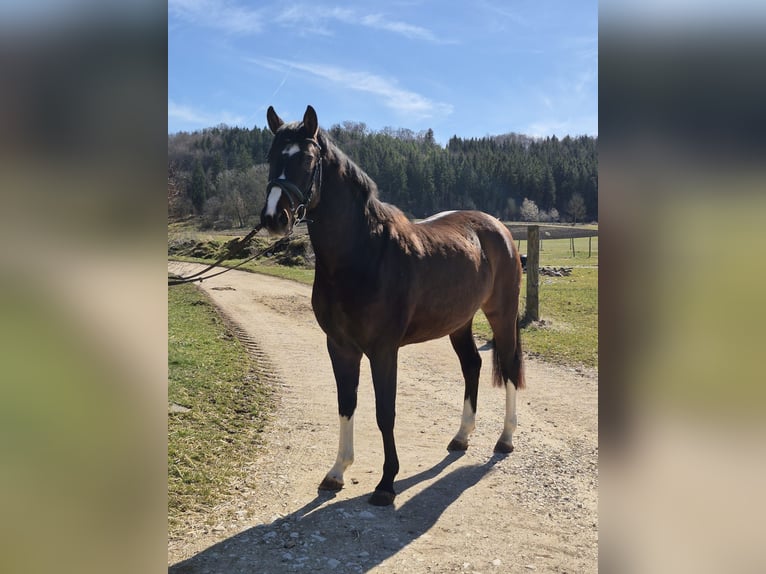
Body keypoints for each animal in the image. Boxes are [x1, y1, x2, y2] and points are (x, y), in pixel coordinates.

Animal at [260, 105, 525, 506]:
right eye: (271, 156)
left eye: (306, 159)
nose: (274, 218)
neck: (364, 253)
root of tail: (500, 229)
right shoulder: (340, 347)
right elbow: (346, 403)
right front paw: (337, 472)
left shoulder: (383, 350)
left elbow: (386, 412)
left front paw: (386, 484)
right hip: (459, 322)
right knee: (472, 366)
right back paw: (461, 436)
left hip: (502, 314)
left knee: (507, 366)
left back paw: (506, 439)